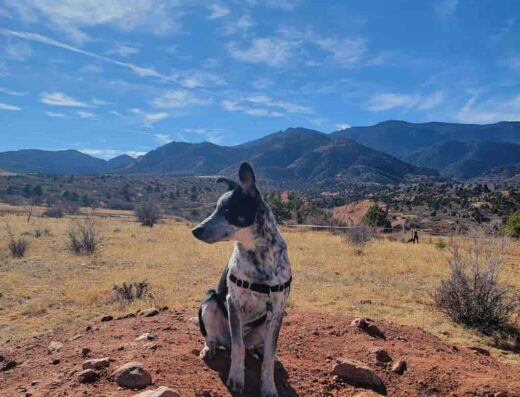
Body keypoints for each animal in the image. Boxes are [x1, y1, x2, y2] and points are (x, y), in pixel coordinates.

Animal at [192, 162, 292, 396]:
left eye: (227, 211)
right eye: (215, 209)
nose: (195, 230)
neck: (258, 255)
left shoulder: (277, 310)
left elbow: (269, 357)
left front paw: (269, 387)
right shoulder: (233, 302)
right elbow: (237, 350)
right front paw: (236, 379)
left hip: (265, 325)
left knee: (260, 348)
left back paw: (269, 355)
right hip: (209, 302)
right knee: (217, 338)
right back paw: (209, 348)